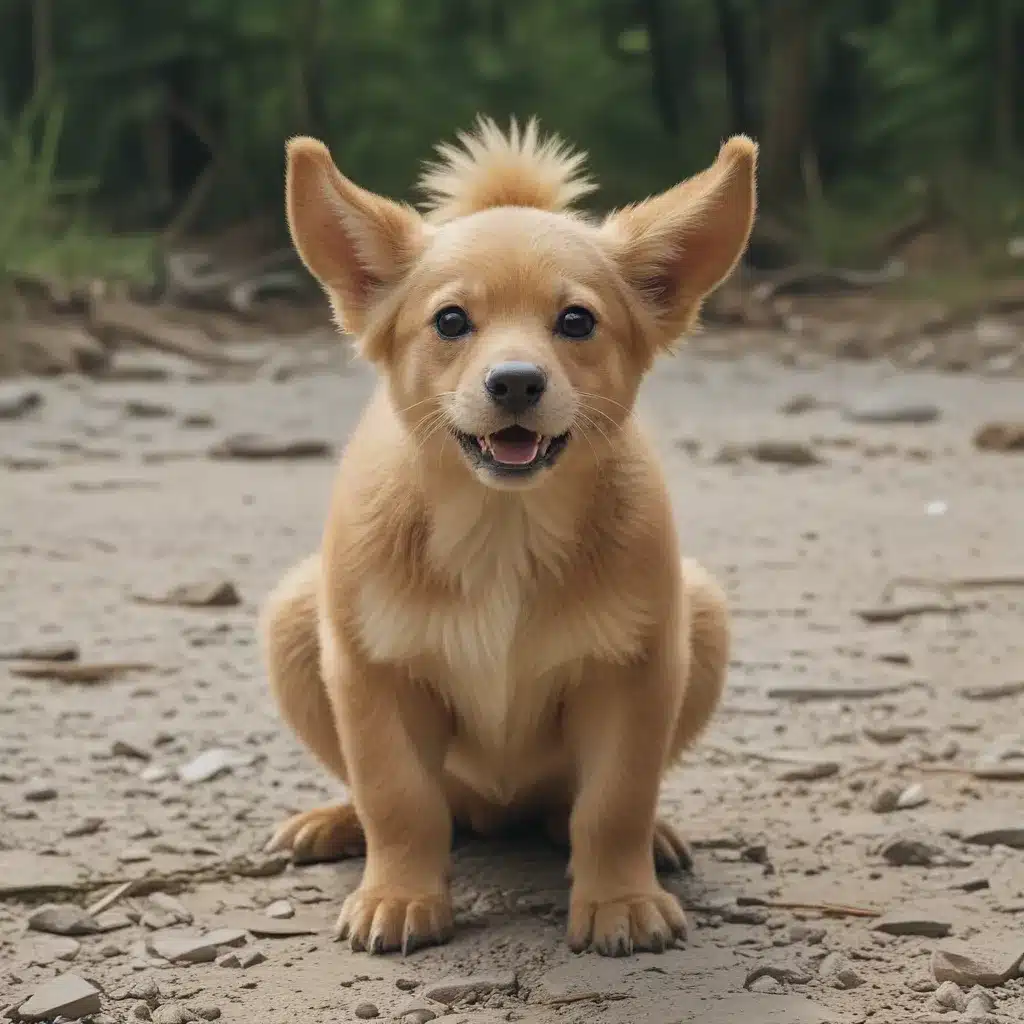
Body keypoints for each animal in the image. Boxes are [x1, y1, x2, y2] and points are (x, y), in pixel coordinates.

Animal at [262, 116, 761, 954]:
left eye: (576, 321)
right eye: (451, 321)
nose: (517, 382)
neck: (503, 530)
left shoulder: (636, 673)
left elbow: (615, 803)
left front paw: (621, 899)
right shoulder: (373, 676)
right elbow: (397, 798)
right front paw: (399, 896)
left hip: (705, 614)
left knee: (568, 808)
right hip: (294, 615)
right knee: (403, 801)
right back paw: (335, 822)